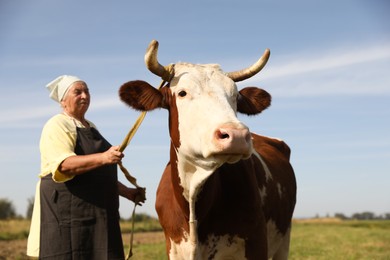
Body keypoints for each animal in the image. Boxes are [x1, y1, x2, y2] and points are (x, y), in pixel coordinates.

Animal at [119, 39, 296, 258]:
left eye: (235, 97)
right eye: (182, 93)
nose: (237, 135)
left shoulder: (257, 243)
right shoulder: (173, 248)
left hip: (284, 238)